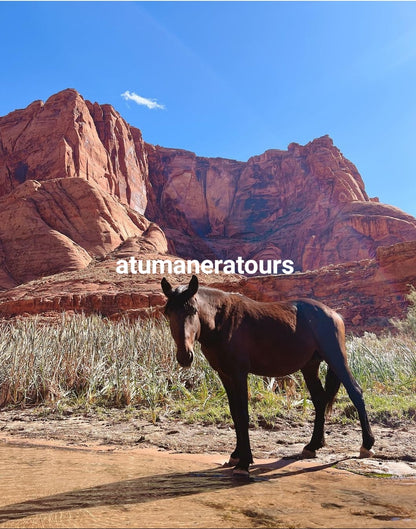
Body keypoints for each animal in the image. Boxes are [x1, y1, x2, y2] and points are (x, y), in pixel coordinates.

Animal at [161, 274, 376, 476]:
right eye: (168, 312)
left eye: (192, 310)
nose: (185, 356)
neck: (222, 321)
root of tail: (334, 314)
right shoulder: (225, 375)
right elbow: (234, 413)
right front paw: (236, 455)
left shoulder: (239, 374)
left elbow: (242, 414)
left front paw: (244, 462)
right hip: (310, 367)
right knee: (320, 400)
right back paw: (312, 445)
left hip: (336, 359)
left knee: (355, 392)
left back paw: (367, 445)